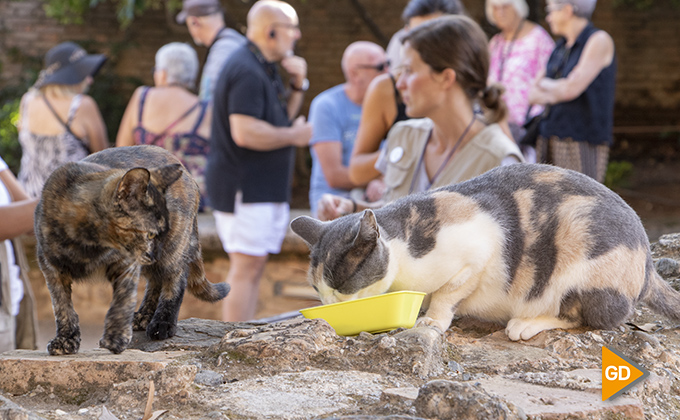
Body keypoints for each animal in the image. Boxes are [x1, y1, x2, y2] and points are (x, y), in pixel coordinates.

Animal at [35, 145, 230, 354]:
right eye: (150, 234)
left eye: (159, 233)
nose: (155, 252)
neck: (86, 244)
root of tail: (185, 169)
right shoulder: (51, 270)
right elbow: (62, 307)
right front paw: (65, 340)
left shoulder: (125, 266)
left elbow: (121, 303)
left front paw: (115, 339)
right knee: (155, 280)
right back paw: (143, 316)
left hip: (173, 249)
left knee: (175, 277)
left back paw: (162, 323)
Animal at [290, 164, 680, 342]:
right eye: (319, 292)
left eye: (343, 287)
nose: (331, 308)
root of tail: (648, 265)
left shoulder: (479, 251)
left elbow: (447, 293)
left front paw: (432, 319)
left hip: (584, 269)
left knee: (591, 318)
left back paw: (526, 323)